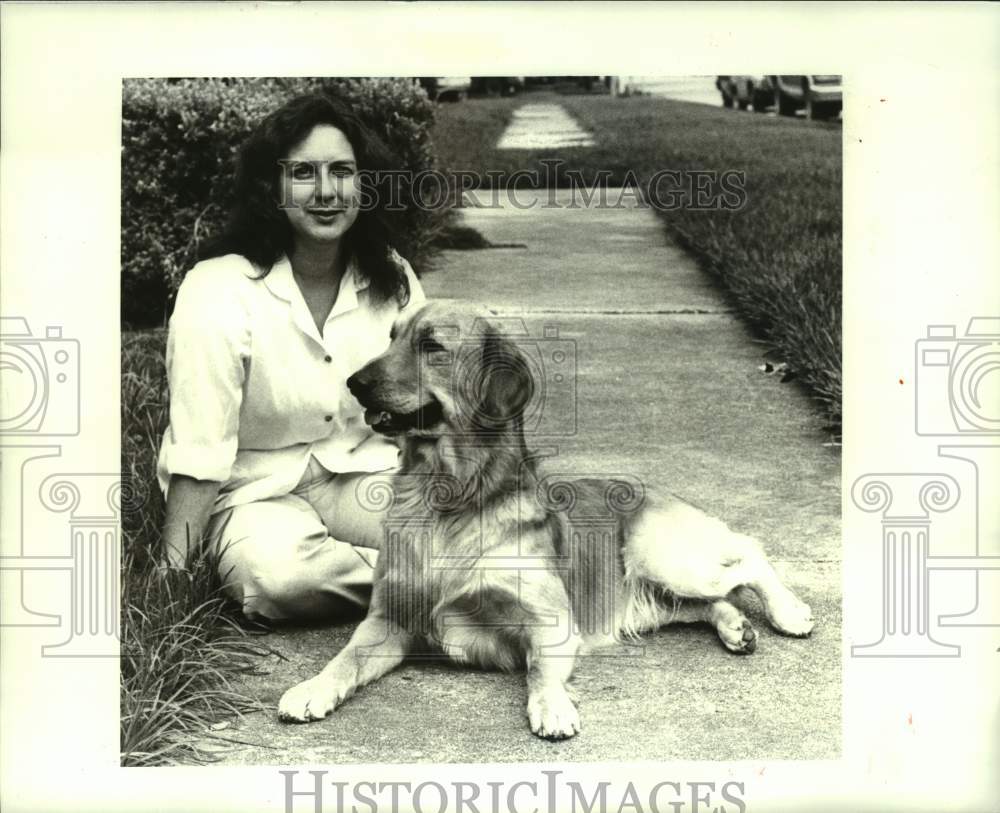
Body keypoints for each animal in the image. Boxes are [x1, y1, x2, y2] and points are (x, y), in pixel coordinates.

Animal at [278, 302, 816, 740]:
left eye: (432, 346)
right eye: (390, 337)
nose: (354, 383)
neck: (451, 495)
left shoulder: (551, 621)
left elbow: (538, 670)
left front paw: (552, 707)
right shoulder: (390, 619)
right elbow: (345, 657)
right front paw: (311, 687)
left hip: (663, 556)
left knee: (749, 556)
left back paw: (789, 612)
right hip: (655, 592)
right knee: (712, 602)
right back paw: (736, 627)